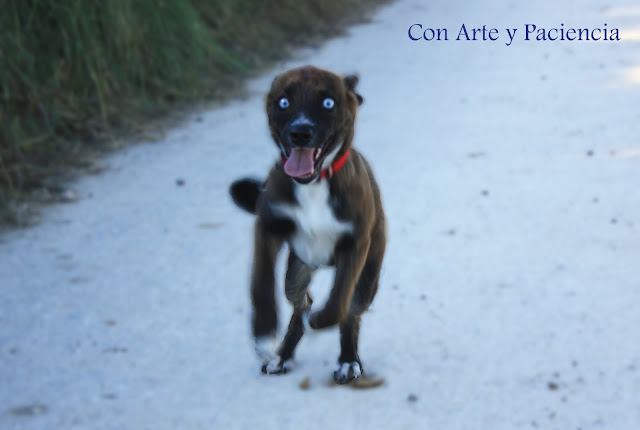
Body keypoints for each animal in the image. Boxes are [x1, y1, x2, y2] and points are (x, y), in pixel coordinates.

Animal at [232, 65, 388, 384]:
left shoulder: (355, 244)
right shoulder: (267, 228)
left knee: (351, 310)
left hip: (369, 277)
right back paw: (281, 355)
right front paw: (263, 333)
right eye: (283, 102)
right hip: (296, 271)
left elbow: (339, 300)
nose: (300, 132)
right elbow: (260, 282)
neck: (315, 183)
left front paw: (326, 324)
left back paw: (347, 359)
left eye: (328, 102)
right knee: (302, 302)